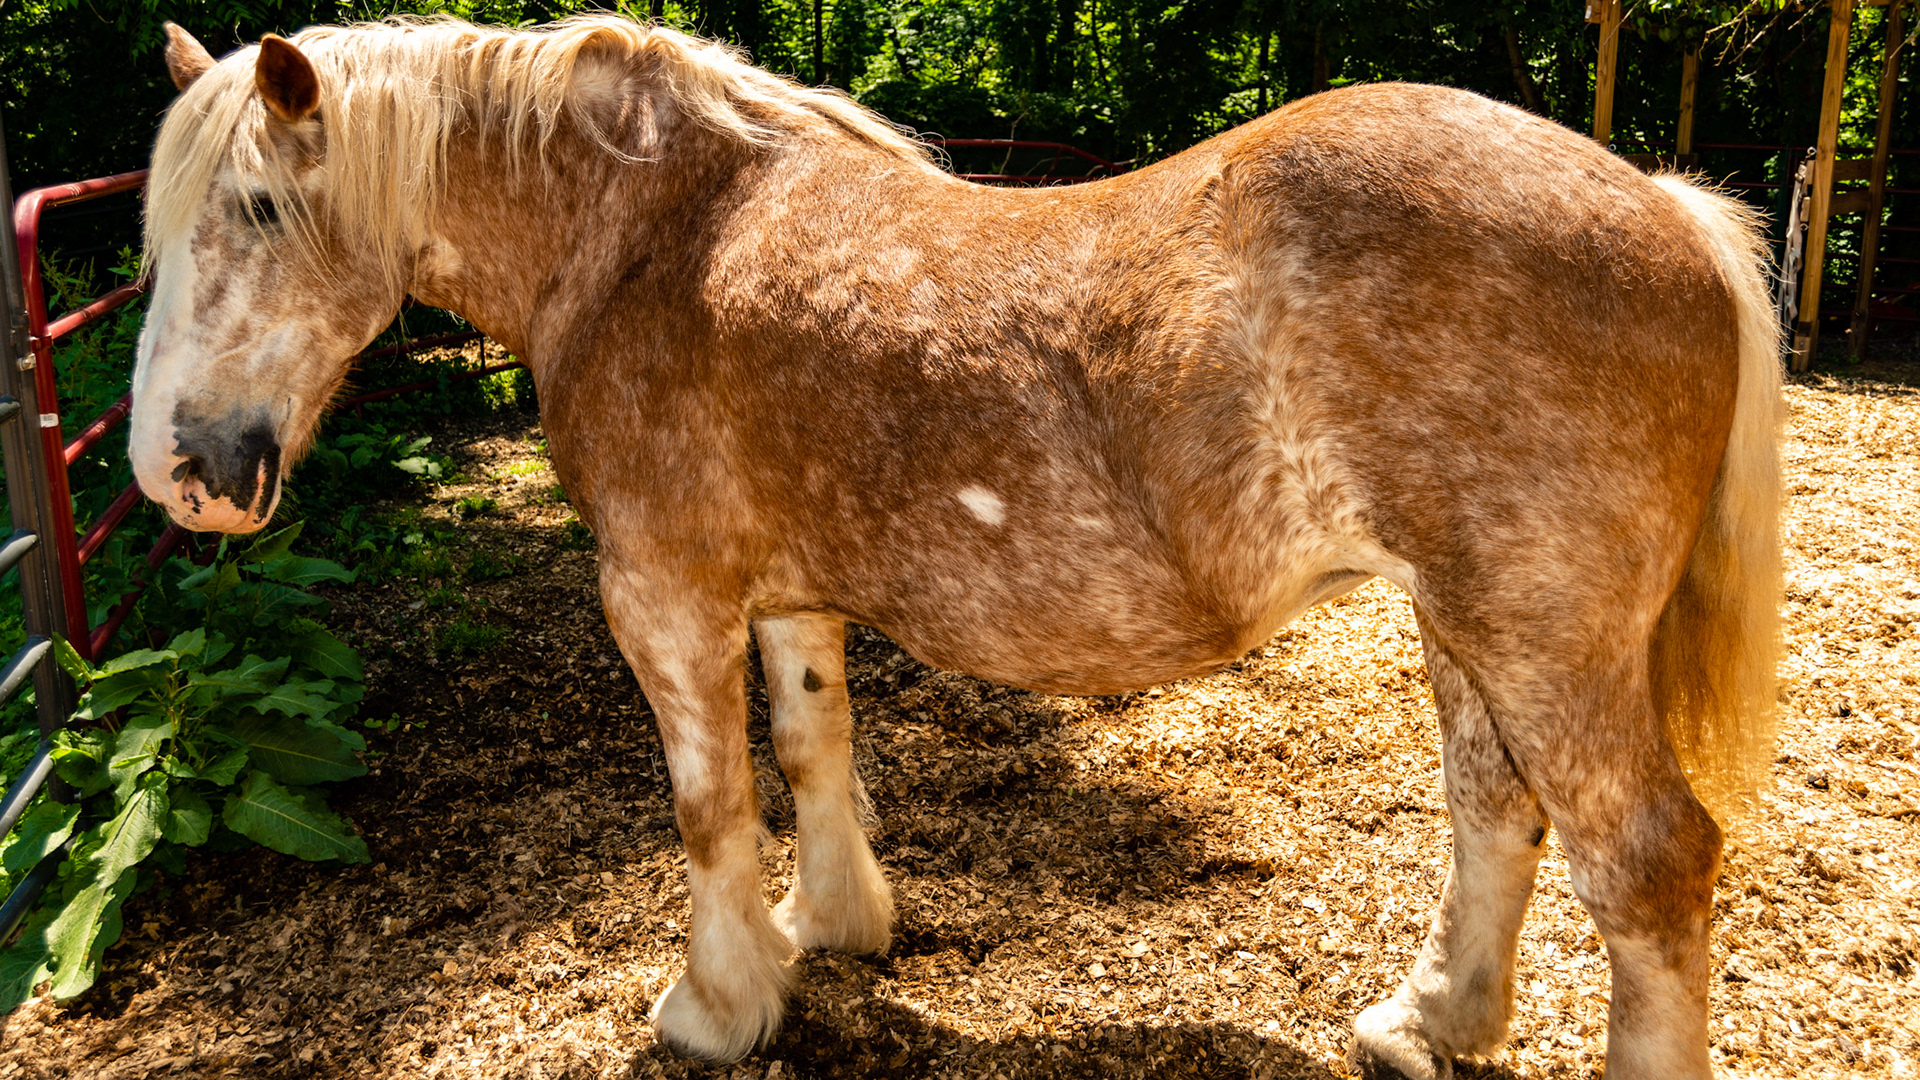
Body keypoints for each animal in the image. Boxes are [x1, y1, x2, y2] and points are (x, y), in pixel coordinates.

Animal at [130, 16, 1781, 1078]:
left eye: (261, 207)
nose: (181, 472)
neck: (649, 235)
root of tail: (1669, 211)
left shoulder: (663, 600)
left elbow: (706, 807)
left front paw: (719, 1008)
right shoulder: (786, 597)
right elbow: (812, 753)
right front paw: (833, 929)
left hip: (1541, 640)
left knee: (1648, 867)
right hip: (1466, 626)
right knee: (1497, 813)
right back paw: (1430, 1024)